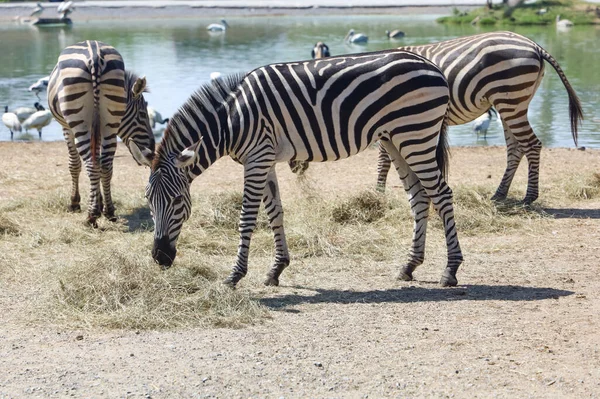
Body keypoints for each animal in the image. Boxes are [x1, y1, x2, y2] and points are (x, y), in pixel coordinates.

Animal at [48, 41, 155, 228]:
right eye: (142, 114)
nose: (153, 148)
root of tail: (95, 55)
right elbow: (98, 161)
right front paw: (99, 202)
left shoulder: (67, 128)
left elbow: (74, 164)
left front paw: (75, 202)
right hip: (110, 122)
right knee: (104, 164)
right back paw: (109, 211)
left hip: (79, 121)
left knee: (91, 164)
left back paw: (91, 216)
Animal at [130, 49, 464, 288]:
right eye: (148, 201)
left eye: (177, 201)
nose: (160, 257)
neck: (230, 120)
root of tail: (430, 64)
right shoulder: (263, 159)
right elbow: (274, 213)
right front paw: (276, 270)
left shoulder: (257, 158)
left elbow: (247, 219)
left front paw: (235, 275)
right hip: (396, 140)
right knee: (419, 198)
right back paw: (409, 266)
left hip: (416, 135)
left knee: (442, 195)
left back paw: (450, 270)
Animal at [290, 32, 580, 203]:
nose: (295, 170)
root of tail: (533, 44)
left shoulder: (386, 122)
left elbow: (383, 161)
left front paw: (378, 194)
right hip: (513, 102)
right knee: (516, 149)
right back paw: (499, 194)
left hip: (510, 99)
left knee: (531, 145)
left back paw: (529, 198)